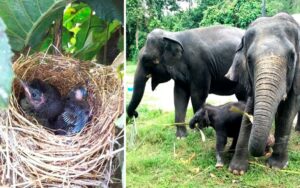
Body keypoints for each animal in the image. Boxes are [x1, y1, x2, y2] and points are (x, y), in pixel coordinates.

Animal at [225, 12, 300, 175]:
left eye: (292, 56)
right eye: (249, 59)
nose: (267, 145)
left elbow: (288, 111)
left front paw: (276, 166)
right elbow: (250, 107)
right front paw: (237, 170)